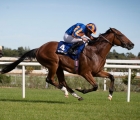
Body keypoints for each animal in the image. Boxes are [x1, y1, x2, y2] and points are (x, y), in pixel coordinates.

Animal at [0, 27, 133, 100]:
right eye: (120, 34)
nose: (132, 44)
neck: (96, 52)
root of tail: (39, 49)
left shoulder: (97, 72)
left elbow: (112, 76)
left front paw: (110, 95)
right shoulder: (85, 73)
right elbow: (95, 86)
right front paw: (81, 89)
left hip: (59, 67)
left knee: (62, 81)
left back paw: (76, 96)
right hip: (53, 64)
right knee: (50, 80)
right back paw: (66, 91)